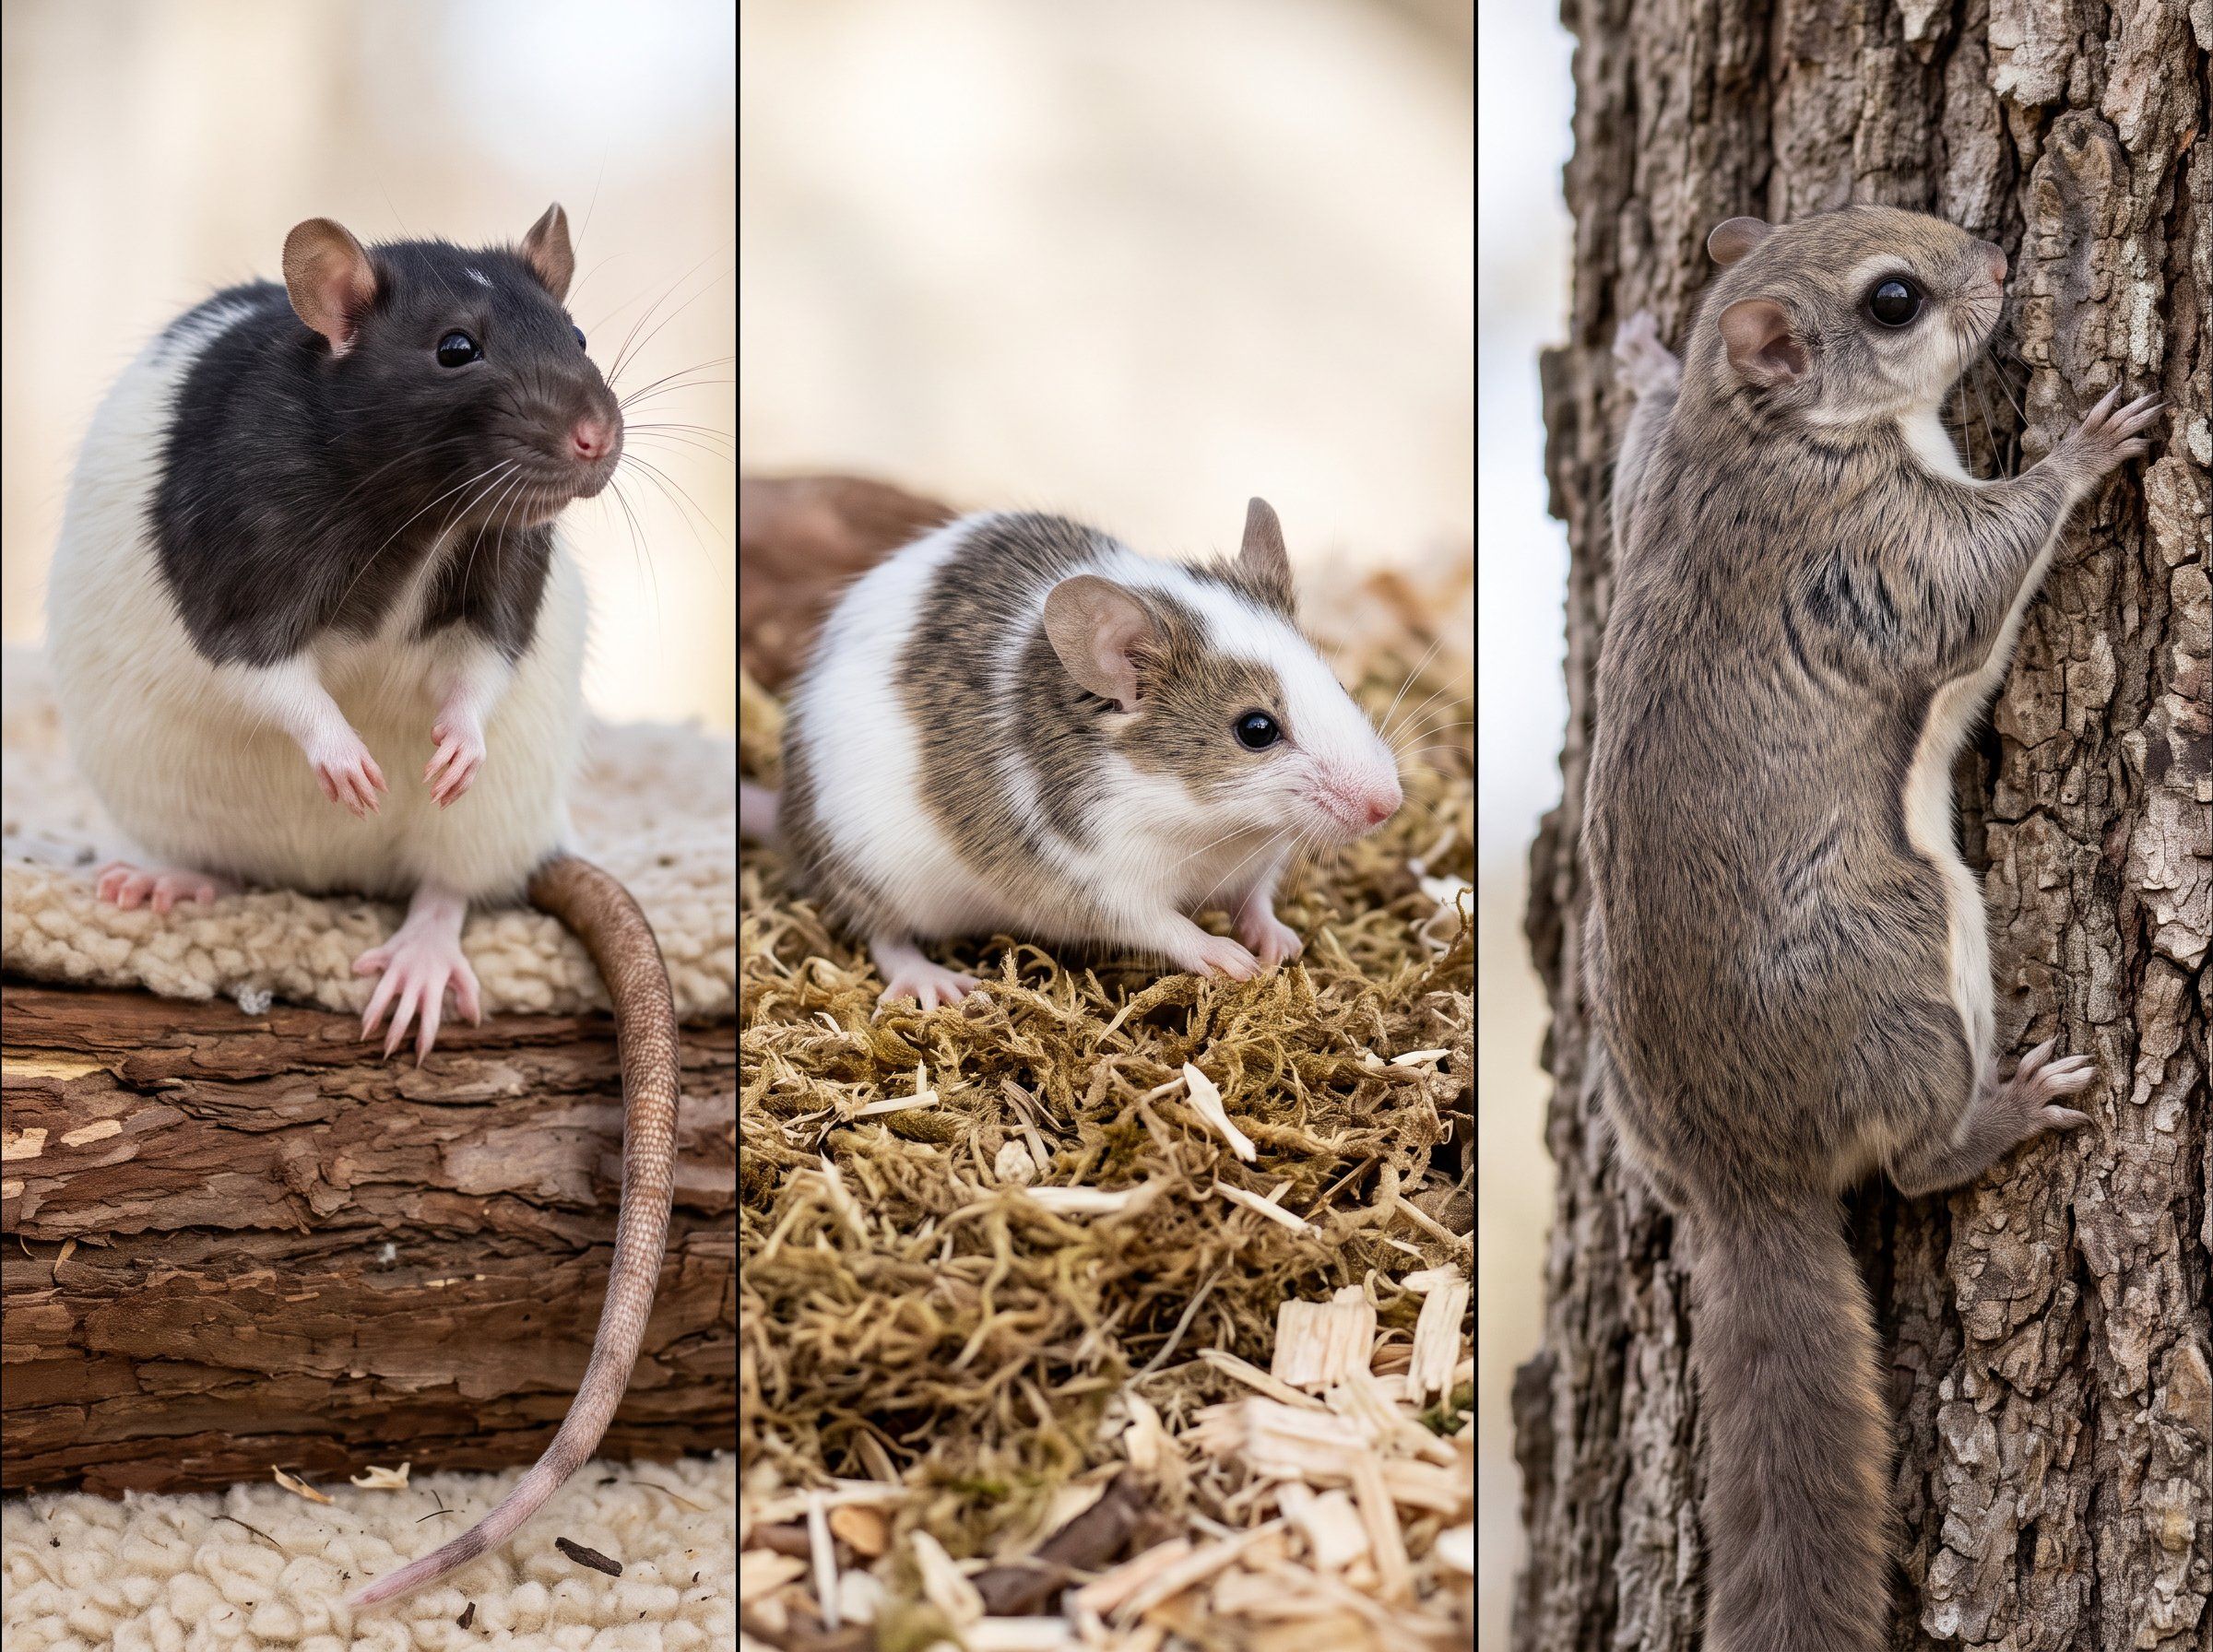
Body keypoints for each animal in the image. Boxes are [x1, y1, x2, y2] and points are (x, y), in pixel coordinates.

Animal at [1584, 205, 2162, 1652]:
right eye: (1894, 301)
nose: (2002, 262)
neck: (1764, 438)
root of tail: (1738, 1176)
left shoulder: (1652, 493)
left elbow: (1631, 453)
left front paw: (1641, 361)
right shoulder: (1867, 549)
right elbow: (1983, 566)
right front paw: (2087, 443)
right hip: (1909, 958)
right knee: (1909, 1164)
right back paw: (2002, 1113)